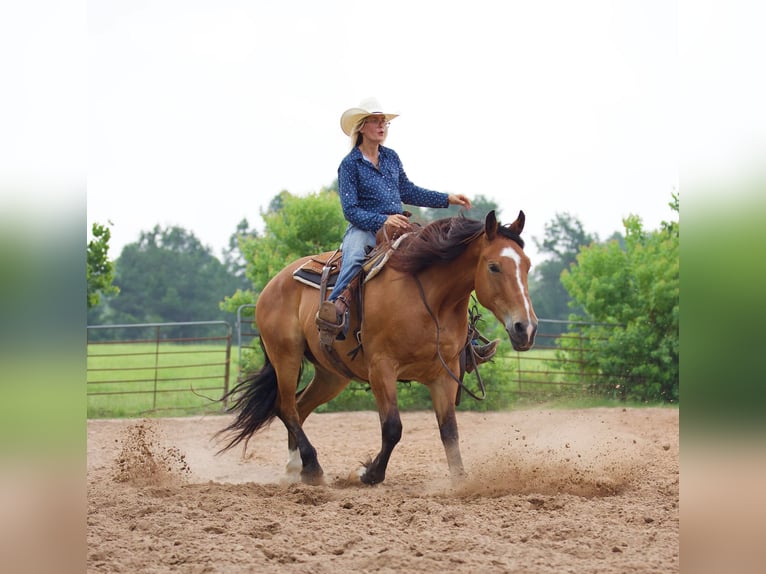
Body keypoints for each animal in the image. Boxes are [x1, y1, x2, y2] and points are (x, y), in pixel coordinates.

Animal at [218, 210, 540, 486]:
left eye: (527, 265)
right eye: (494, 266)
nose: (526, 328)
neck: (431, 299)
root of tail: (273, 285)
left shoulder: (444, 374)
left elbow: (449, 431)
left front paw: (460, 480)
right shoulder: (381, 368)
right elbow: (393, 428)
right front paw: (368, 473)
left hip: (332, 374)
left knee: (300, 406)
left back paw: (296, 467)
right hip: (286, 356)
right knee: (286, 407)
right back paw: (312, 466)